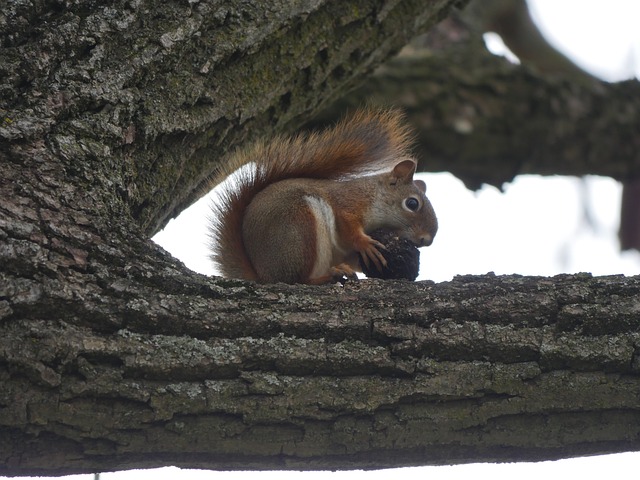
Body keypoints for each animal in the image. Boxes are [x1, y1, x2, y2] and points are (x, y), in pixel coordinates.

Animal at [208, 109, 438, 284]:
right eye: (412, 203)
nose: (426, 240)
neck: (373, 195)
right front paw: (365, 243)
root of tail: (264, 275)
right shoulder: (348, 203)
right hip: (299, 229)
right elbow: (348, 227)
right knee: (296, 280)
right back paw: (326, 277)